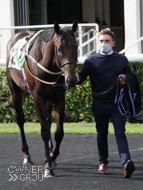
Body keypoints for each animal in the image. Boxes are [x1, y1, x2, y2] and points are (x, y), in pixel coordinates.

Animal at [5, 21, 77, 178]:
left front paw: (52, 155)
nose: (71, 80)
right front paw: (48, 166)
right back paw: (26, 155)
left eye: (76, 47)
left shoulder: (58, 97)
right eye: (59, 49)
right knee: (20, 120)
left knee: (49, 121)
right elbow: (44, 131)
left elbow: (58, 132)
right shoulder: (37, 97)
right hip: (15, 91)